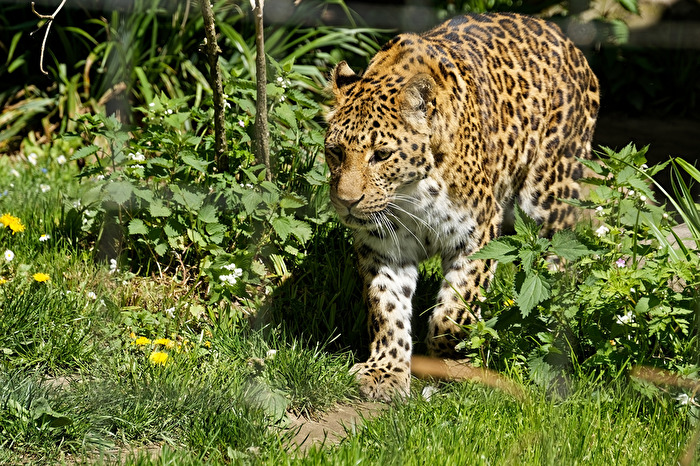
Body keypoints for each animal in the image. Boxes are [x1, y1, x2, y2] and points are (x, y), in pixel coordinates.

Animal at [324, 13, 599, 401]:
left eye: (381, 155)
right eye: (335, 151)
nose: (347, 203)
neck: (412, 193)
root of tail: (560, 34)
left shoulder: (478, 234)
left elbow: (455, 311)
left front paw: (450, 362)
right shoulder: (383, 245)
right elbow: (386, 306)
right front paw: (386, 371)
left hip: (549, 196)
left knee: (555, 266)